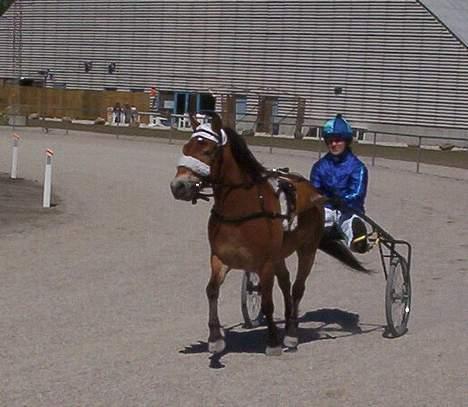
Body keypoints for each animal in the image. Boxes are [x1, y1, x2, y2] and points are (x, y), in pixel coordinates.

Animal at [170, 113, 368, 356]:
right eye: (186, 147)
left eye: (207, 150)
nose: (179, 186)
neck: (241, 210)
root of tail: (314, 193)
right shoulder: (220, 258)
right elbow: (212, 291)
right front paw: (215, 338)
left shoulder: (264, 263)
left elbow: (267, 302)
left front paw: (273, 341)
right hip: (279, 254)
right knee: (285, 282)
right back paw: (289, 319)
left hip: (307, 249)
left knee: (297, 288)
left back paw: (291, 334)